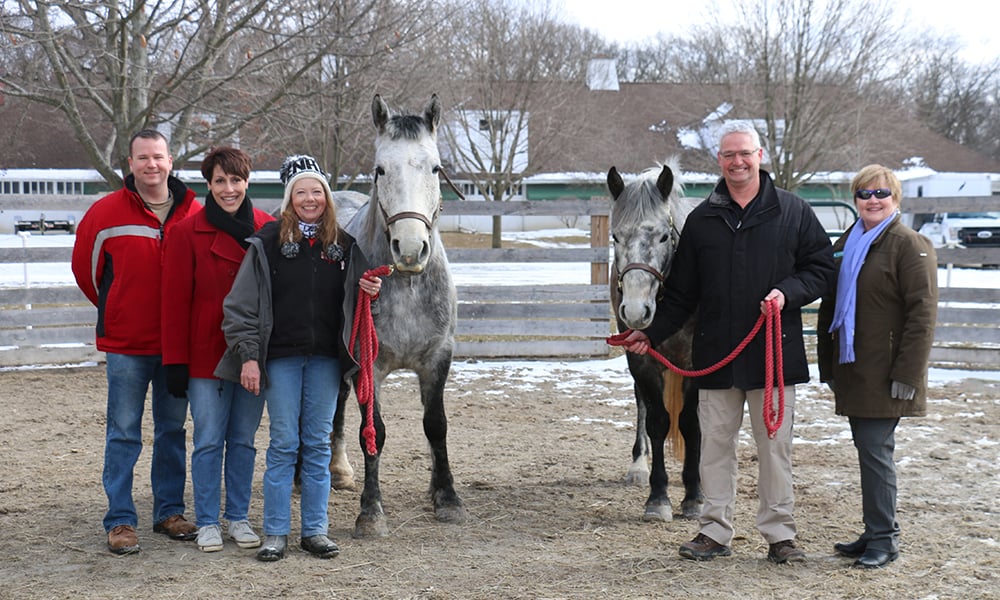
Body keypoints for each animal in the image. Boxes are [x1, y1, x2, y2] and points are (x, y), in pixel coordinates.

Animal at [330, 95, 466, 540]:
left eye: (436, 168)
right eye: (380, 169)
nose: (409, 248)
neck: (406, 285)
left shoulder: (438, 357)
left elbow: (436, 425)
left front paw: (446, 498)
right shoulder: (367, 363)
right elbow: (373, 430)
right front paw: (371, 512)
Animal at [604, 164, 700, 520]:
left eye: (662, 236)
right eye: (616, 236)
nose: (635, 311)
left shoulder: (696, 361)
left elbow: (690, 423)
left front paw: (694, 496)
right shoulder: (641, 360)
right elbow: (657, 422)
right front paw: (658, 498)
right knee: (642, 405)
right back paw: (638, 466)